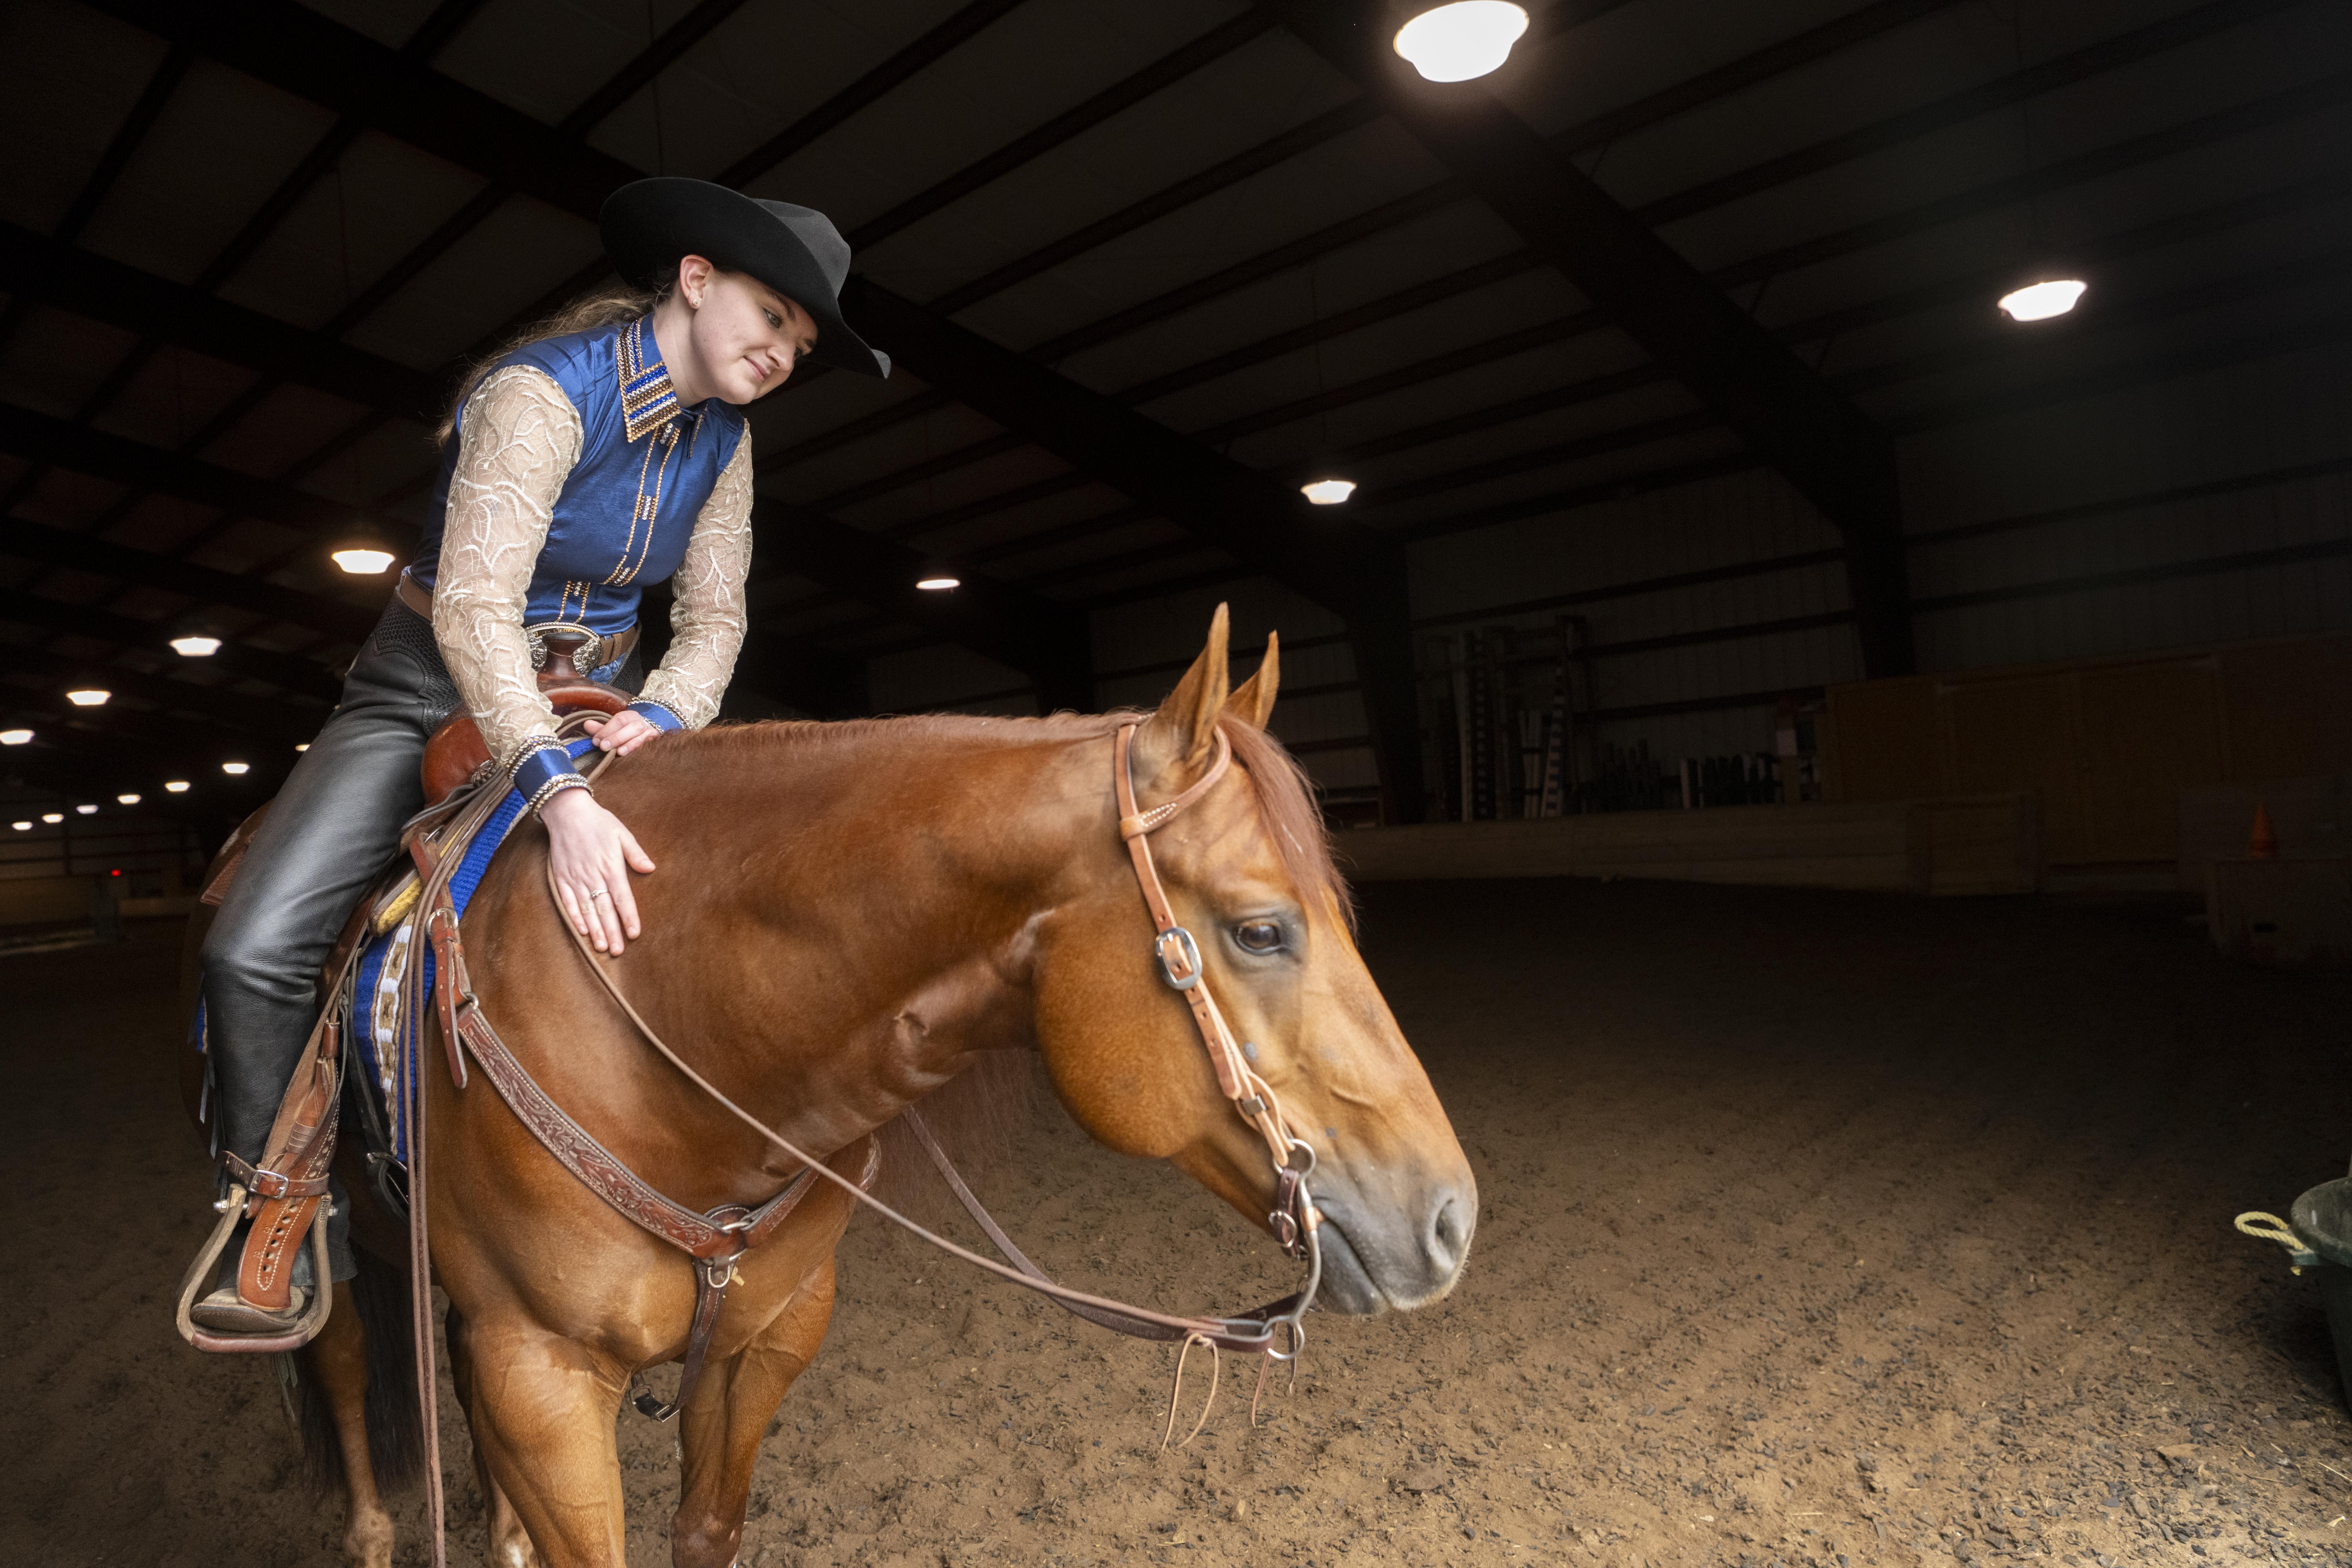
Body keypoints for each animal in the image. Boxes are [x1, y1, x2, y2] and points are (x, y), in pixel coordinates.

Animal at [182, 606, 1477, 1567]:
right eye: (1261, 931)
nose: (1451, 1221)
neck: (670, 1015)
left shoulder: (764, 1342)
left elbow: (703, 1529)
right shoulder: (540, 1373)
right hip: (338, 1255)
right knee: (343, 1370)